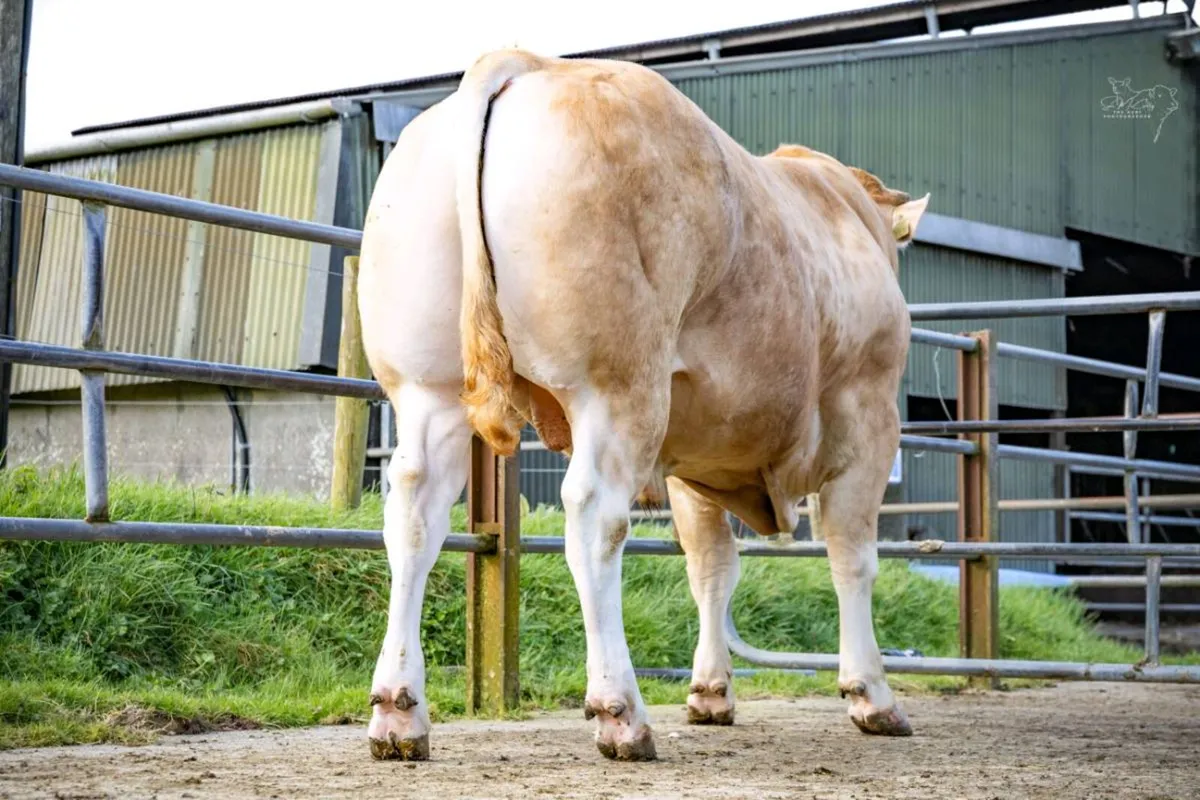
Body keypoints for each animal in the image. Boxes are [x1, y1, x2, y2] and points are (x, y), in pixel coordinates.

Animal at [356, 48, 930, 763]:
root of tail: (526, 64)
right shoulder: (870, 417)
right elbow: (853, 556)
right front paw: (872, 694)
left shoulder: (698, 450)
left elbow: (712, 566)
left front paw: (711, 693)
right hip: (617, 384)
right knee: (593, 517)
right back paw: (619, 711)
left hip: (424, 387)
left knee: (414, 515)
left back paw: (398, 711)